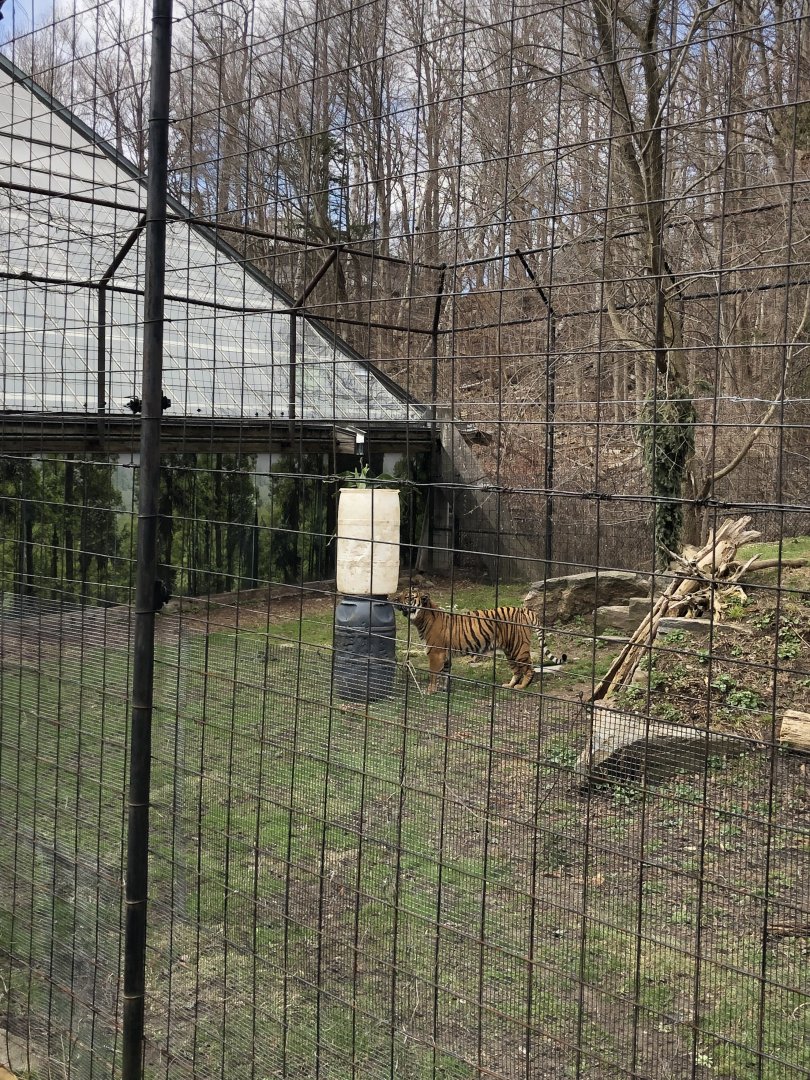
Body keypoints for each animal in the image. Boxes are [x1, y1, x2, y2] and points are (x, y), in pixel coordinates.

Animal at [394, 589, 566, 693]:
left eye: (407, 596)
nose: (394, 598)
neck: (421, 618)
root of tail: (524, 610)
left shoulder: (435, 653)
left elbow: (433, 674)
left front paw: (430, 691)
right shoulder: (446, 656)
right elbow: (445, 674)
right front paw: (444, 690)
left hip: (519, 648)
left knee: (529, 668)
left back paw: (521, 687)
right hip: (510, 650)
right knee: (517, 670)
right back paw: (509, 685)